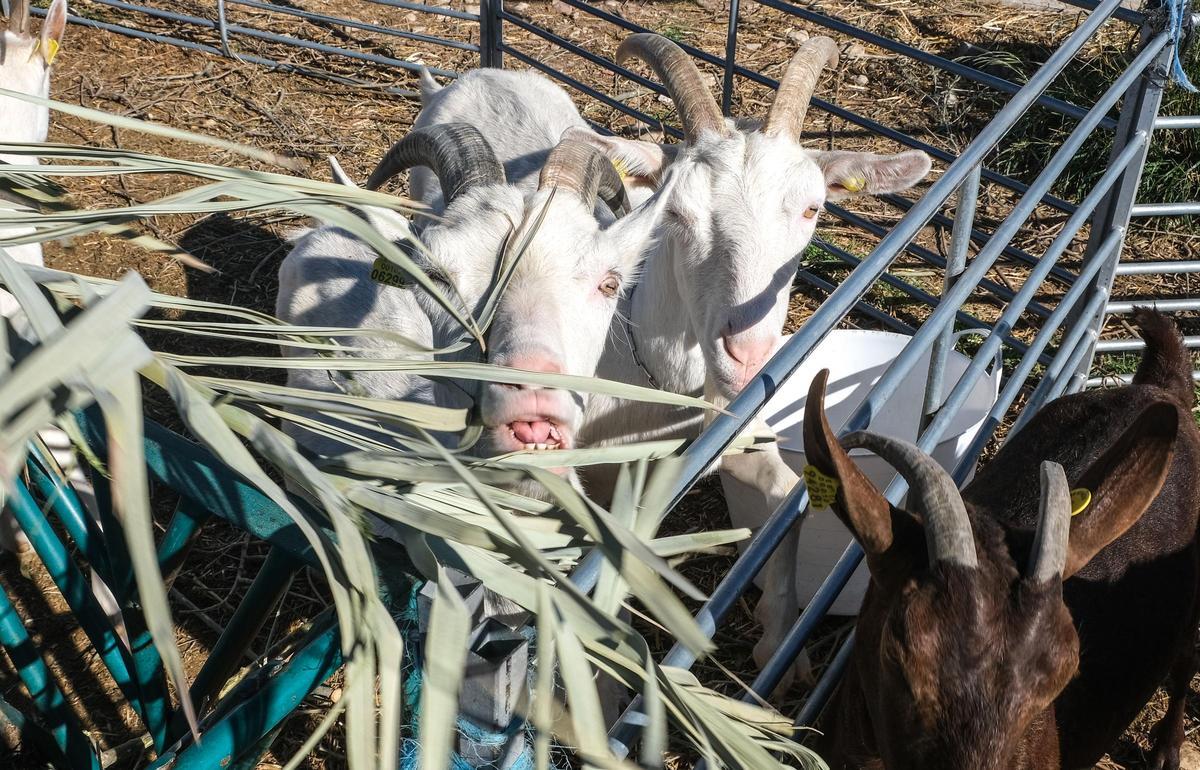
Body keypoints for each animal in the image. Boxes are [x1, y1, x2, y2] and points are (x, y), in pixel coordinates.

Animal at [414, 36, 933, 685]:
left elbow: (786, 504)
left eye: (812, 209)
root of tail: (477, 74)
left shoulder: (742, 429)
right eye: (677, 215)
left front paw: (779, 649)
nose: (748, 354)